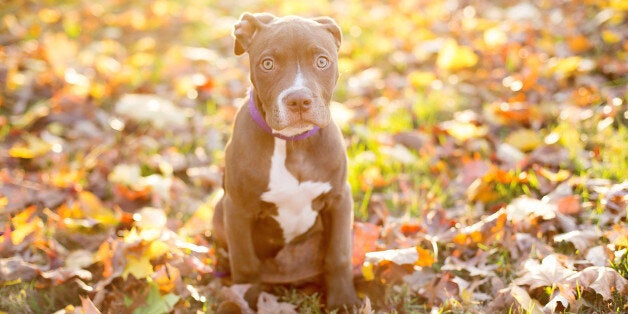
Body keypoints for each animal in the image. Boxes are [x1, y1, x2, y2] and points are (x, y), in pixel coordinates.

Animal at [211, 11, 358, 310]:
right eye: (267, 64)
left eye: (322, 61)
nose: (299, 100)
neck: (293, 146)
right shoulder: (237, 209)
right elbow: (245, 264)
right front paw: (245, 301)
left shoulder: (340, 199)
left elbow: (338, 254)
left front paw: (343, 301)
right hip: (219, 211)